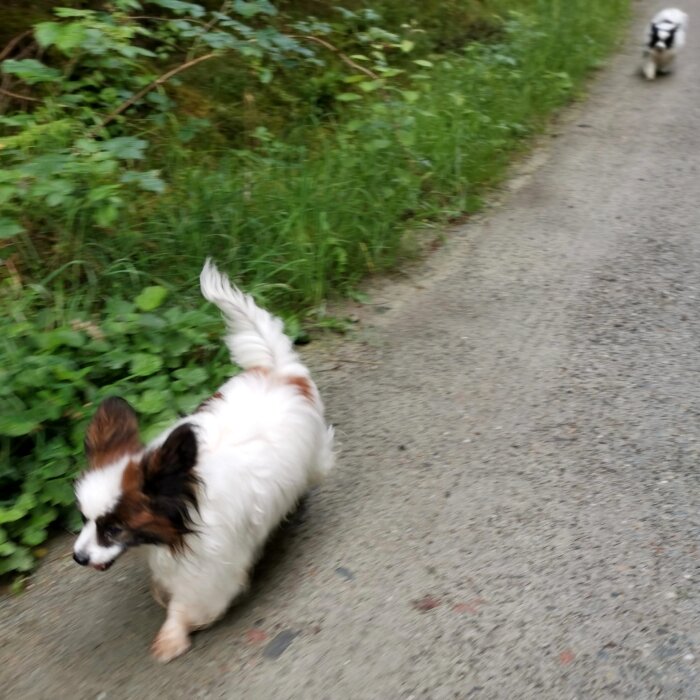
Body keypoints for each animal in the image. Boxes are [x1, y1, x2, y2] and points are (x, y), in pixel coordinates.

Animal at [72, 262, 334, 660]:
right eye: (84, 519)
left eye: (114, 529)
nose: (78, 557)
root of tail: (278, 371)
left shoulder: (211, 571)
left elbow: (190, 603)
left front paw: (173, 634)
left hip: (315, 456)